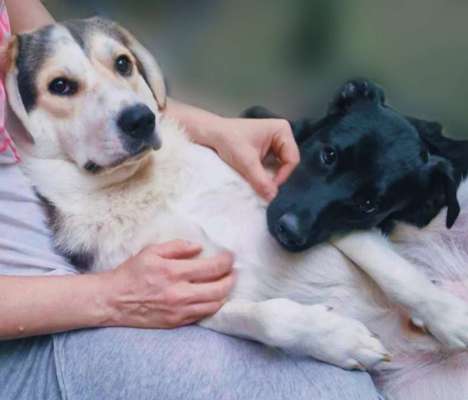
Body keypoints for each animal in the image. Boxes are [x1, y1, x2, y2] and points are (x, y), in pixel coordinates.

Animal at [5, 16, 468, 400]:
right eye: (60, 86)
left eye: (123, 64)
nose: (140, 119)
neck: (148, 187)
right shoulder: (179, 295)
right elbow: (267, 319)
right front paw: (338, 339)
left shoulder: (292, 202)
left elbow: (394, 272)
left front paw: (448, 317)